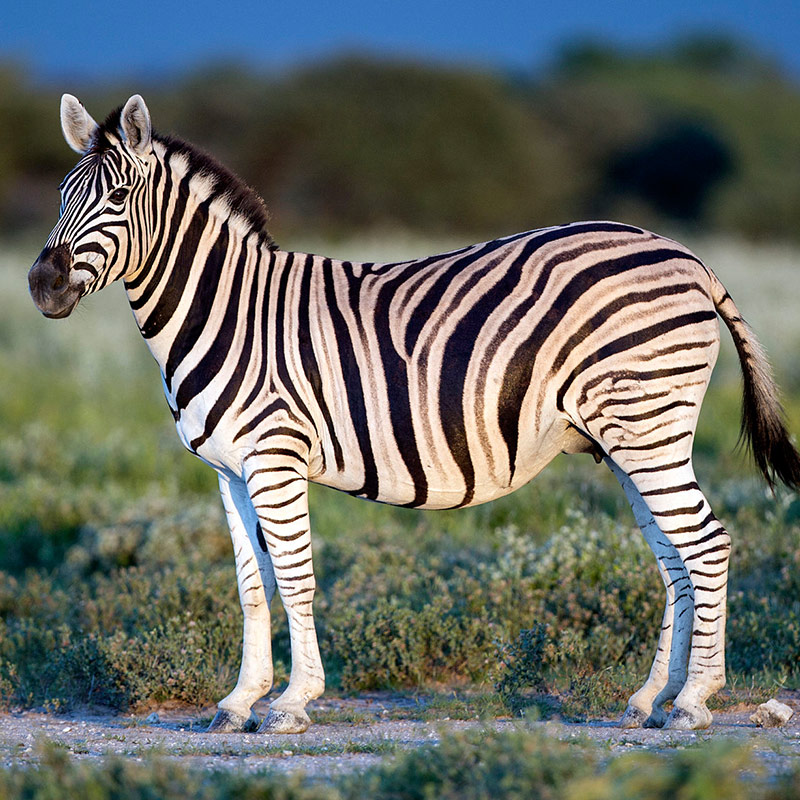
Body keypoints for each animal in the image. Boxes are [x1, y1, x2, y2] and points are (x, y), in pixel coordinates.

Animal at [29, 93, 800, 734]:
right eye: (62, 196)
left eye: (118, 197)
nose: (40, 284)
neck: (227, 311)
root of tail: (688, 257)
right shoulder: (229, 470)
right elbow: (251, 585)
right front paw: (240, 700)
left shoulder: (276, 457)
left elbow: (296, 576)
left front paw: (292, 703)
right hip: (625, 438)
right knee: (675, 559)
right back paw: (651, 699)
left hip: (646, 425)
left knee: (706, 545)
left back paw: (694, 702)